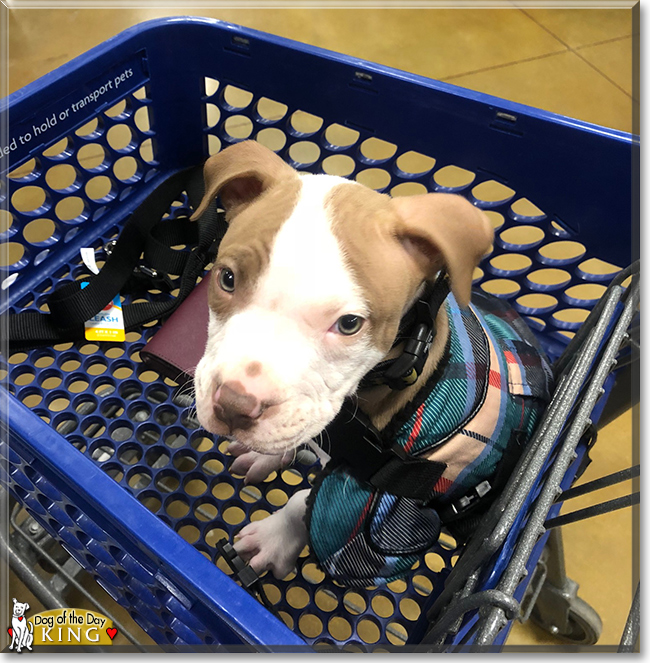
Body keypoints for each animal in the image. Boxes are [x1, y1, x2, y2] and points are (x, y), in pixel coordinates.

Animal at [192, 143, 492, 580]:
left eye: (349, 324)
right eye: (227, 278)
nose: (233, 406)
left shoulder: (381, 508)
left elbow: (305, 502)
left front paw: (274, 537)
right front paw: (267, 455)